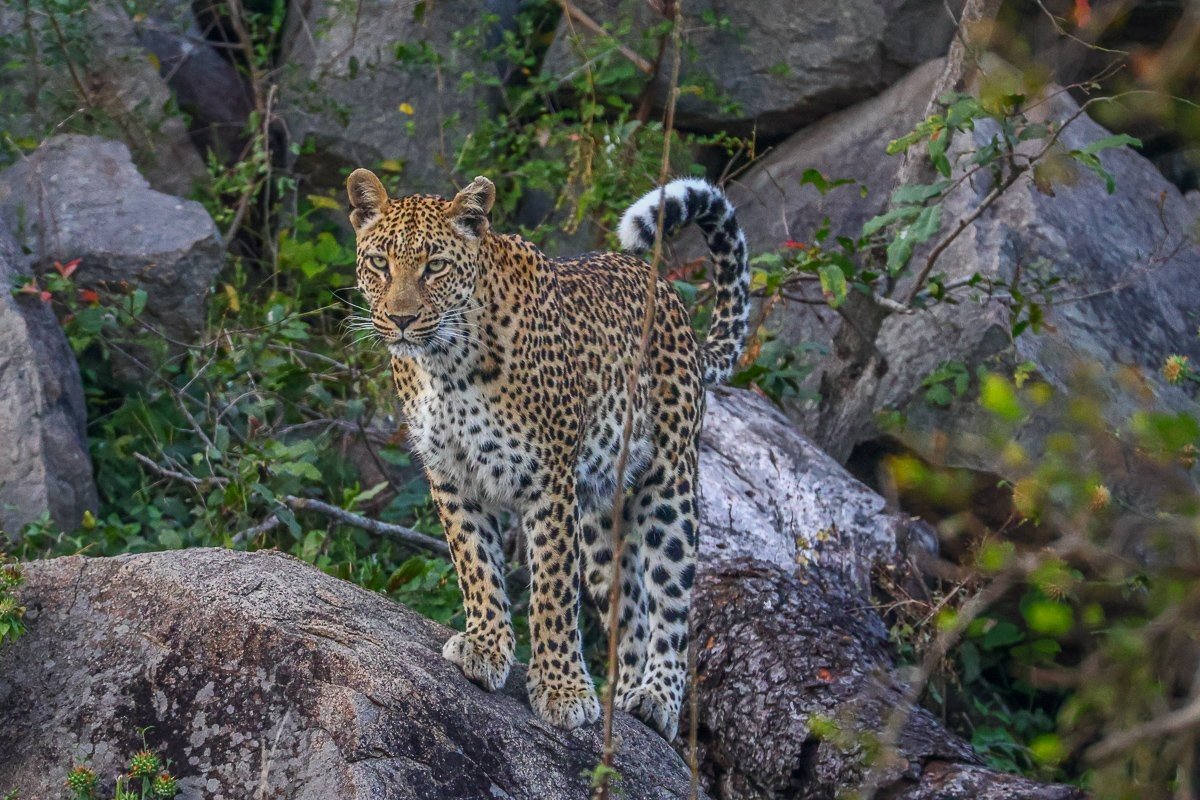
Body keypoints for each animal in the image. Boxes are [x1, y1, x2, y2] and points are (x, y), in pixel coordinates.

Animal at [346, 168, 749, 740]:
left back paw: (656, 698)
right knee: (629, 609)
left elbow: (553, 593)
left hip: (669, 484)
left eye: (435, 266)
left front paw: (561, 690)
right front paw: (486, 647)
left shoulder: (549, 482)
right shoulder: (452, 477)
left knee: (670, 601)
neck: (446, 366)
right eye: (380, 263)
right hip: (601, 518)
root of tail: (669, 295)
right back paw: (624, 699)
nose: (401, 319)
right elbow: (476, 565)